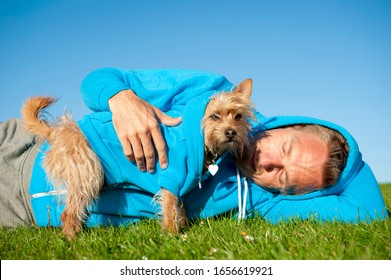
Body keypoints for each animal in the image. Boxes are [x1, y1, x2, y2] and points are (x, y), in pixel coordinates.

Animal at [21, 79, 256, 238]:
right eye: (214, 116)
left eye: (238, 117)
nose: (231, 132)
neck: (202, 142)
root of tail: (61, 130)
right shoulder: (171, 178)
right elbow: (170, 208)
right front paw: (171, 235)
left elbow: (179, 208)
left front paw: (180, 228)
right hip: (87, 175)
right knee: (69, 213)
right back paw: (71, 240)